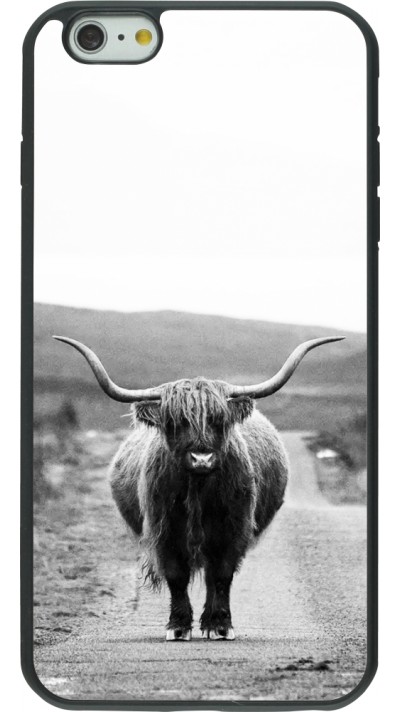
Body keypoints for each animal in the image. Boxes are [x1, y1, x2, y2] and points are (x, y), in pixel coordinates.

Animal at [54, 334, 343, 641]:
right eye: (175, 422)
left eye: (218, 420)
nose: (201, 458)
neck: (198, 490)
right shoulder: (163, 530)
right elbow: (176, 576)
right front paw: (178, 626)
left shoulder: (234, 529)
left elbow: (222, 575)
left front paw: (220, 624)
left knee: (212, 575)